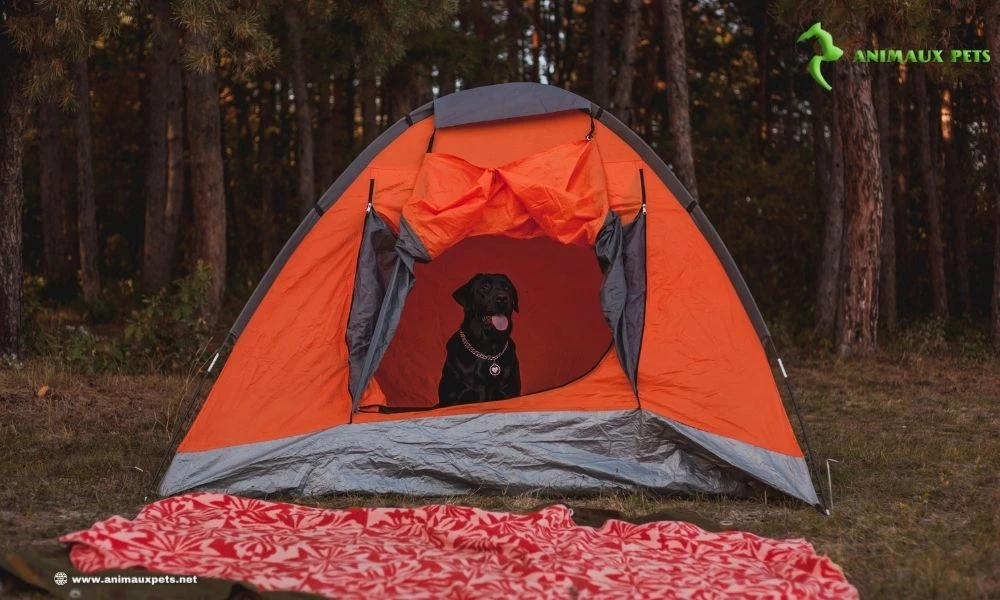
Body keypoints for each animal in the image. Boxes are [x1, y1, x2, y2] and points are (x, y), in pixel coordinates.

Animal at [442, 274, 528, 408]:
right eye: (484, 287)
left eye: (507, 288)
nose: (502, 298)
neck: (488, 350)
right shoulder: (454, 398)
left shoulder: (508, 392)